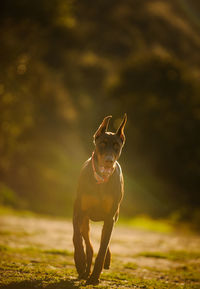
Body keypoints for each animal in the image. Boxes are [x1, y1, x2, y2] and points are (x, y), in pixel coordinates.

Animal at [72, 113, 127, 284]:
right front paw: (80, 261)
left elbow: (103, 247)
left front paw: (95, 276)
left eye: (116, 145)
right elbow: (77, 238)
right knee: (87, 243)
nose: (109, 161)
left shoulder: (110, 217)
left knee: (103, 242)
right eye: (102, 143)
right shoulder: (80, 212)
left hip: (114, 216)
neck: (101, 179)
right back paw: (84, 269)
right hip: (84, 219)